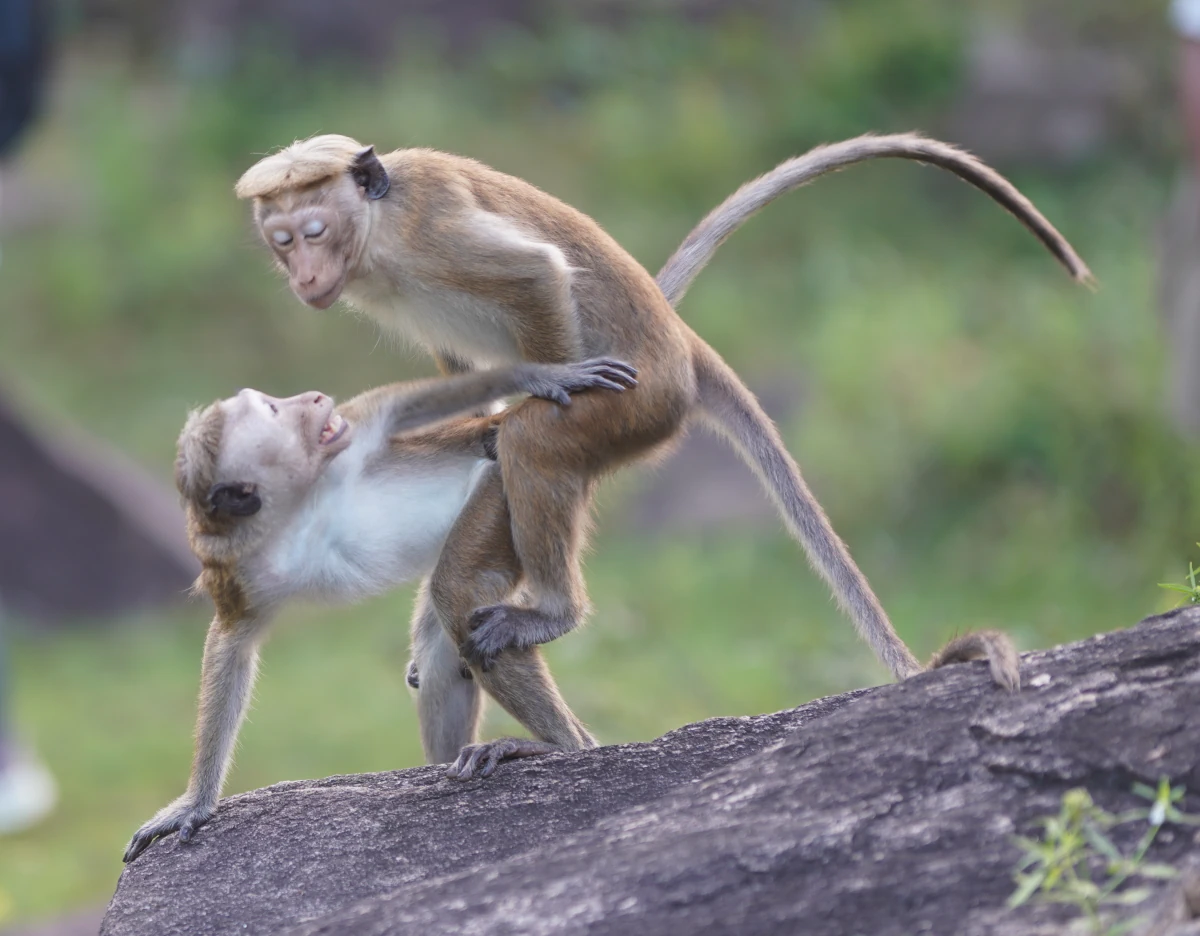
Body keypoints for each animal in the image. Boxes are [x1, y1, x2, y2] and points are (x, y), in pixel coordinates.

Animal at [123, 357, 643, 864]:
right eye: (272, 411)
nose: (313, 398)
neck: (300, 506)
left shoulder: (352, 442)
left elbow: (398, 408)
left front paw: (542, 374)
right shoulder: (239, 565)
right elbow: (232, 644)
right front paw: (195, 803)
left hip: (502, 485)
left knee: (458, 589)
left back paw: (560, 740)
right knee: (445, 637)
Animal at [236, 131, 1089, 772]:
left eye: (313, 233)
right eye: (281, 244)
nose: (304, 274)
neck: (376, 236)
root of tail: (681, 350)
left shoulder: (431, 236)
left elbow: (536, 278)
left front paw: (549, 380)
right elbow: (464, 381)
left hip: (634, 408)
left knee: (532, 450)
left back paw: (552, 618)